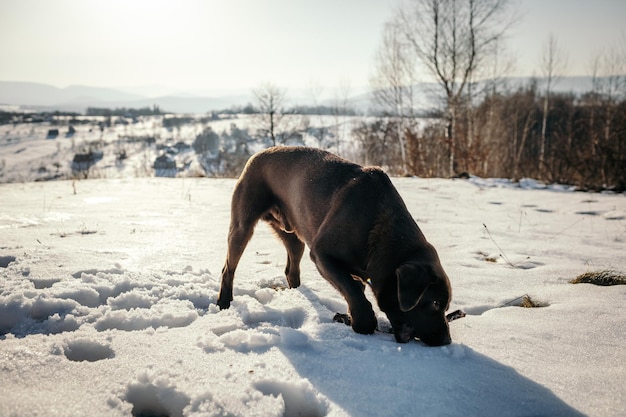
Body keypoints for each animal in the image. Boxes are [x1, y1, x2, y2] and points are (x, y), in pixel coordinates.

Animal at [217, 146, 450, 344]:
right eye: (435, 303)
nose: (446, 340)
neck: (379, 228)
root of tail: (257, 154)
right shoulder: (323, 255)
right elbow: (355, 295)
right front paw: (362, 323)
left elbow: (354, 290)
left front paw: (348, 318)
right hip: (243, 226)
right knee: (228, 268)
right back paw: (224, 303)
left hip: (294, 236)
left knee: (291, 270)